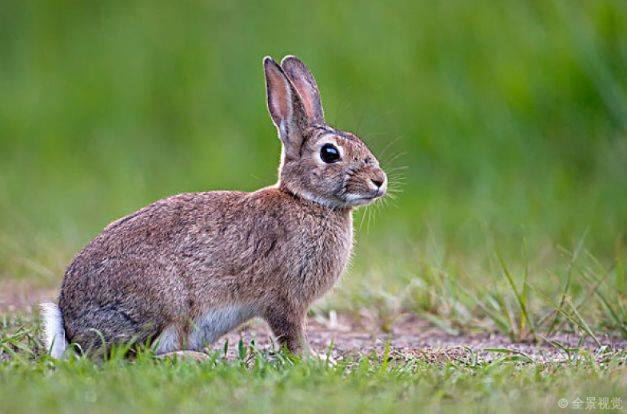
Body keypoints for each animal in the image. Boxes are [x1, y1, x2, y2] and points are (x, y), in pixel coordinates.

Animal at [40, 55, 388, 360]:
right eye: (330, 153)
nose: (379, 181)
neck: (306, 200)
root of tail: (69, 328)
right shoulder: (284, 299)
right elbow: (291, 335)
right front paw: (316, 361)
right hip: (163, 299)